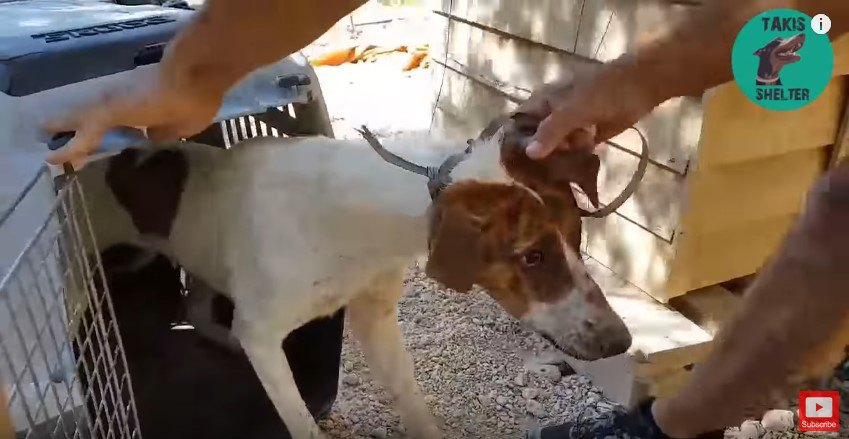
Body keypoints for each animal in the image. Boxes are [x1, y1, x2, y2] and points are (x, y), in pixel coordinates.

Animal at [71, 116, 628, 439]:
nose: (620, 342)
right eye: (532, 257)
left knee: (198, 304)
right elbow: (300, 423)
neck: (359, 227)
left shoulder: (374, 316)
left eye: (578, 234)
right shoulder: (262, 333)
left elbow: (411, 398)